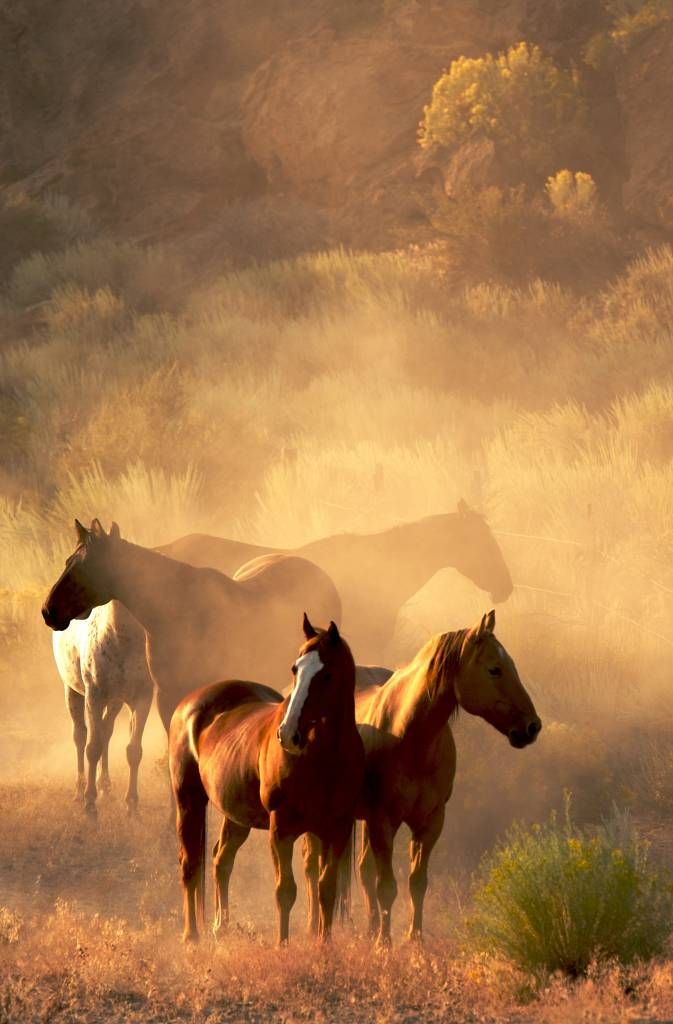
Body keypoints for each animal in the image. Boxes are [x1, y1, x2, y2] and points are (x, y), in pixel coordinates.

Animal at [169, 614, 364, 944]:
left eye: (326, 674)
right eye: (295, 668)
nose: (288, 734)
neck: (323, 758)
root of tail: (189, 705)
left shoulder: (336, 829)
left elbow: (326, 888)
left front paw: (324, 945)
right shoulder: (280, 829)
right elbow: (285, 891)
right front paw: (282, 946)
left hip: (236, 816)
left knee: (221, 859)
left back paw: (220, 926)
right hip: (189, 801)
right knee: (190, 864)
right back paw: (191, 936)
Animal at [303, 609, 541, 945]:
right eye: (494, 669)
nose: (532, 726)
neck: (409, 735)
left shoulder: (429, 822)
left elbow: (417, 883)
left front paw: (414, 940)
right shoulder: (384, 821)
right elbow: (387, 886)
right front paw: (384, 945)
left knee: (362, 871)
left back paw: (370, 928)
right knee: (313, 869)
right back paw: (315, 928)